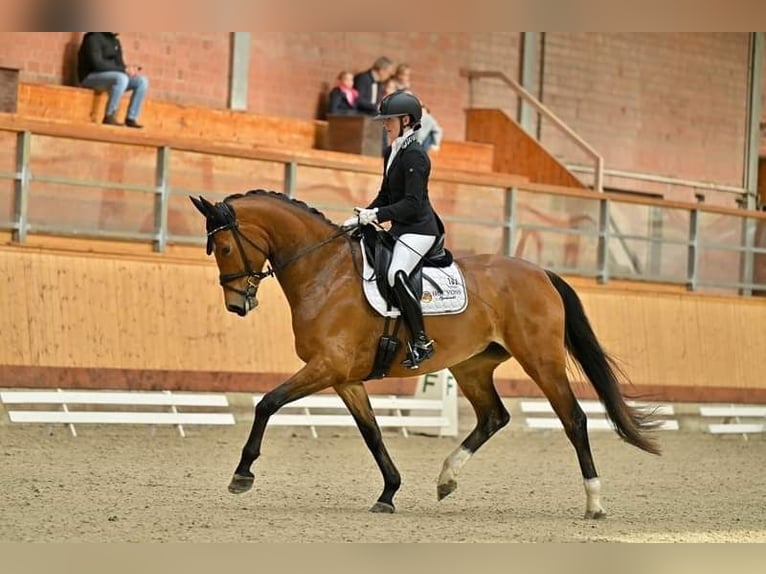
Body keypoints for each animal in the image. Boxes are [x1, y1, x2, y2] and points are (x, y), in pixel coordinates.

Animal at [190, 191, 660, 520]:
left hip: (540, 359)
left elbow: (267, 402)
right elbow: (372, 433)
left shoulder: (327, 367)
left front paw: (242, 475)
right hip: (472, 365)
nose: (237, 305)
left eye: (225, 249)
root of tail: (541, 272)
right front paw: (389, 492)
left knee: (574, 419)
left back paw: (594, 503)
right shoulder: (345, 378)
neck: (325, 272)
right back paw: (446, 479)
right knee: (494, 417)